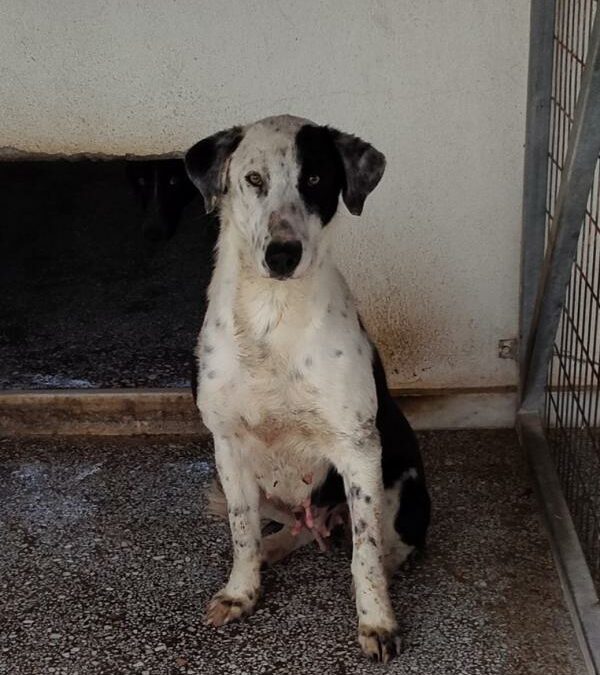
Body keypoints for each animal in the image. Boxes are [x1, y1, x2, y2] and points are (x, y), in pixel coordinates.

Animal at [185, 115, 430, 663]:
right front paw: (241, 592)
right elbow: (242, 532)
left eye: (315, 179)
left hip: (401, 480)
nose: (282, 255)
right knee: (280, 529)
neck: (271, 313)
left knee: (386, 544)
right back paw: (276, 547)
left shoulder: (359, 449)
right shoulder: (227, 446)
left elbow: (365, 555)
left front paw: (377, 622)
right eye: (253, 179)